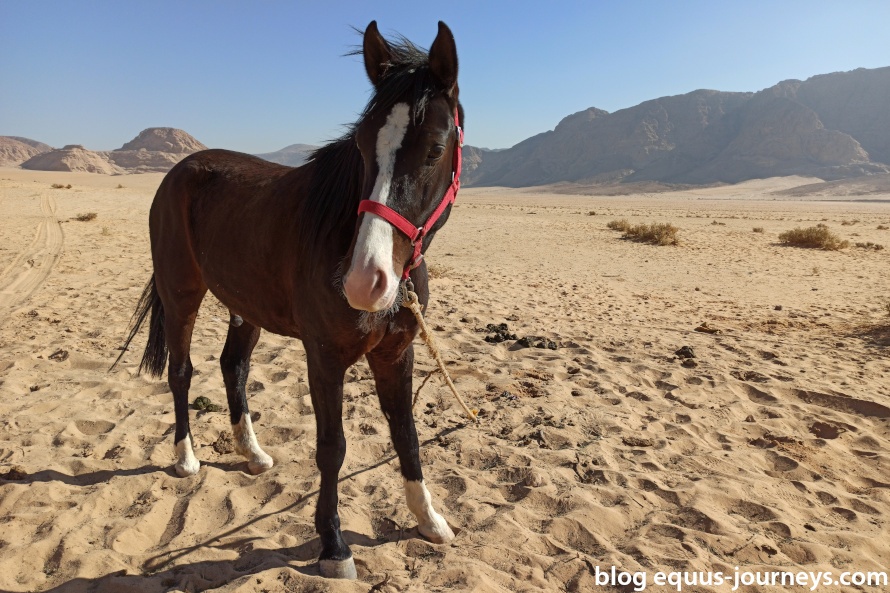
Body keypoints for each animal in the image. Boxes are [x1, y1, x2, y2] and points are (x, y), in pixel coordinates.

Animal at [114, 22, 462, 580]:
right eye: (362, 146)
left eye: (434, 148)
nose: (364, 282)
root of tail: (180, 170)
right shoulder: (324, 358)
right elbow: (332, 448)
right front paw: (334, 545)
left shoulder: (396, 354)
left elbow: (406, 435)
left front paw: (429, 519)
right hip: (181, 294)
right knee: (182, 371)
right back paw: (186, 458)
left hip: (244, 307)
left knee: (232, 365)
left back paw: (252, 453)